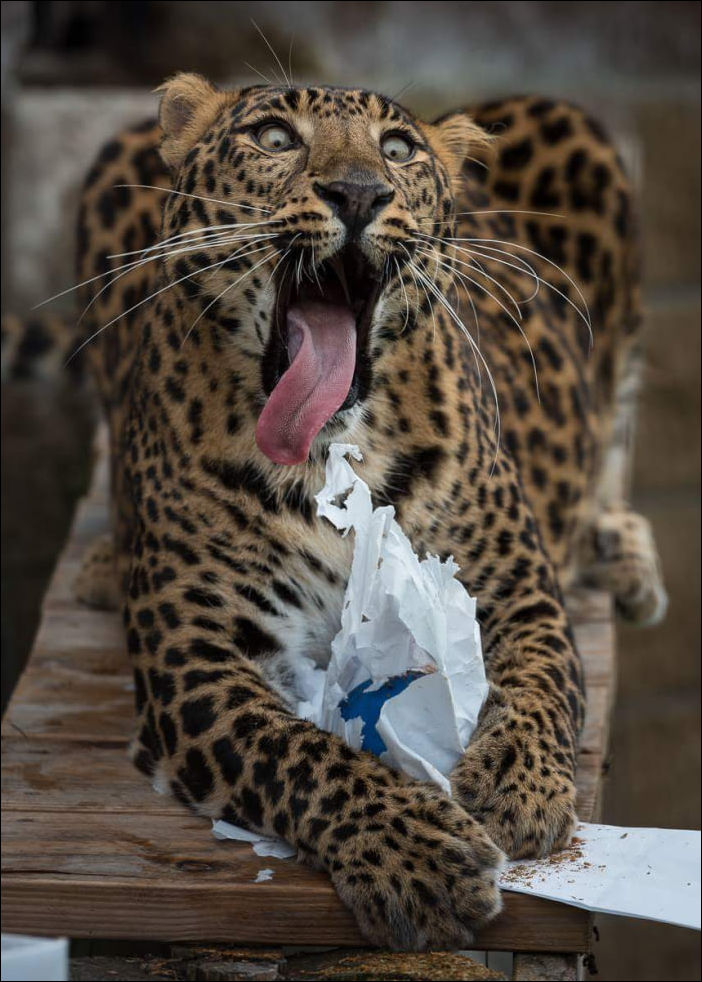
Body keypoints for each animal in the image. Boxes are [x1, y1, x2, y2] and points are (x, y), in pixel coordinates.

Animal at [4, 74, 667, 950]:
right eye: (274, 137)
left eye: (399, 150)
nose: (358, 193)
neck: (328, 459)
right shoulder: (195, 659)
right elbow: (294, 752)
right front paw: (418, 855)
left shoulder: (516, 592)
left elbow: (539, 683)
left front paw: (514, 787)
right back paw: (111, 556)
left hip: (575, 135)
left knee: (613, 427)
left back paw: (622, 553)